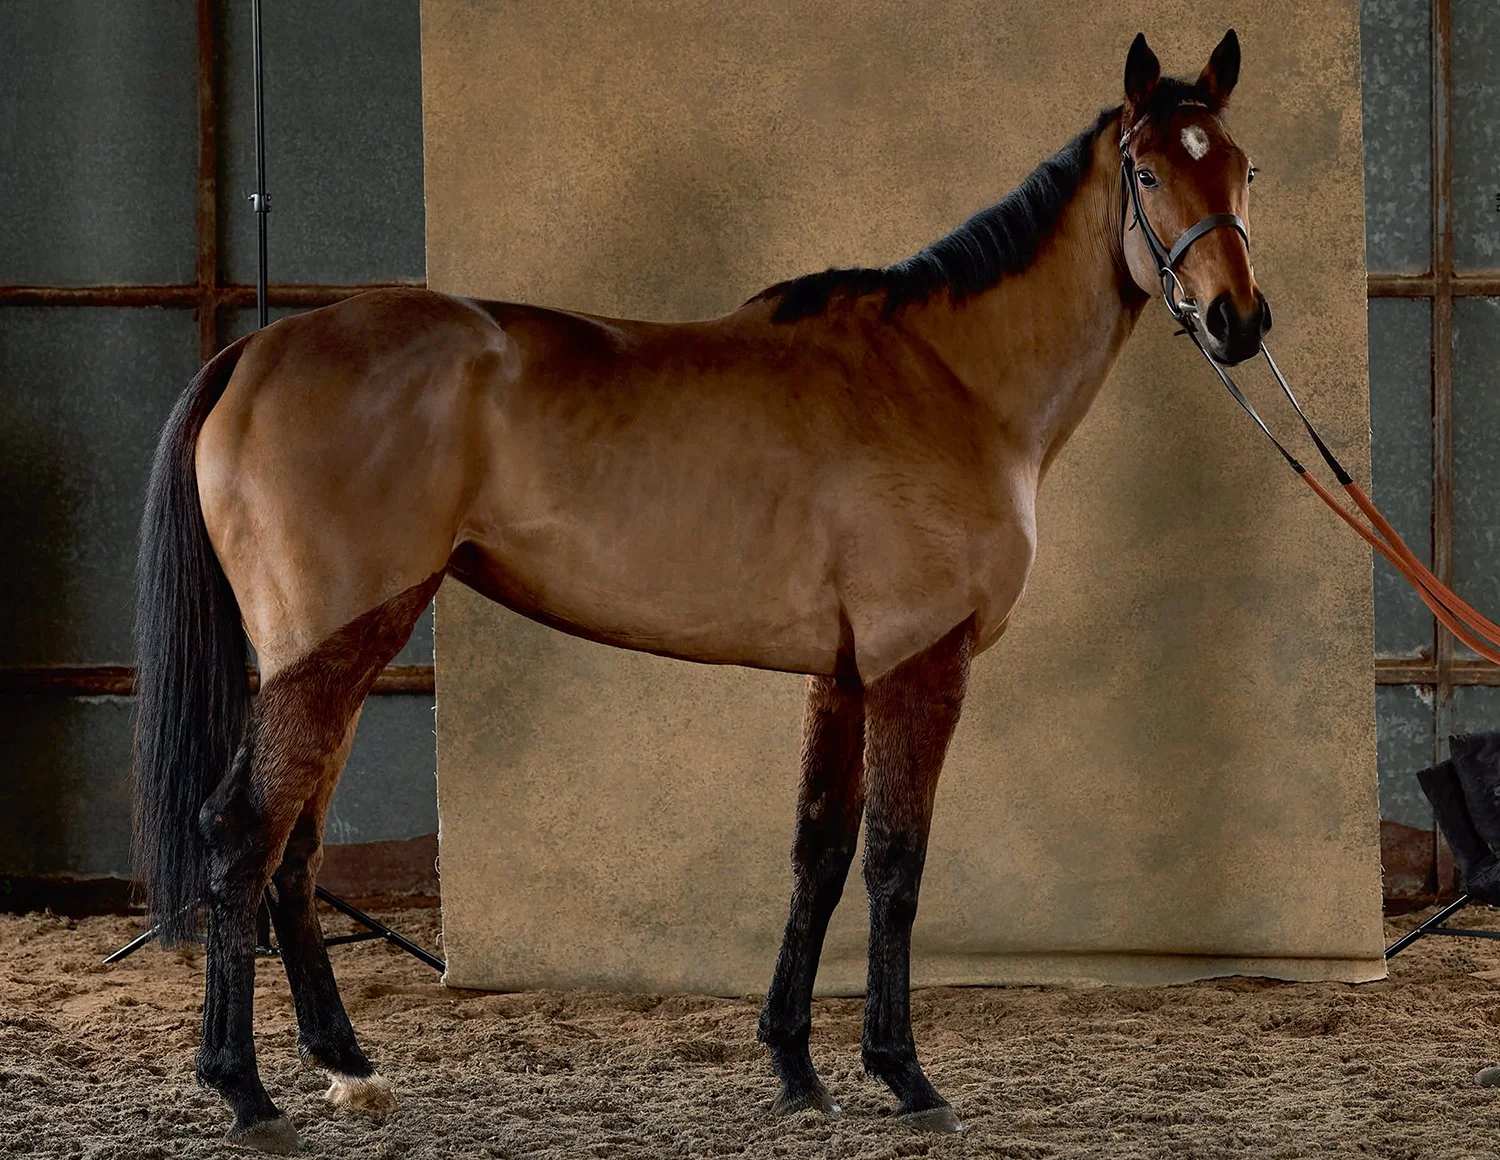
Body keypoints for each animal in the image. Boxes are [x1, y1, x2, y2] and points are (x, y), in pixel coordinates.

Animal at [131, 28, 1266, 1151]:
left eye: (1243, 167)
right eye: (1150, 170)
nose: (1237, 319)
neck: (947, 377)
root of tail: (258, 347)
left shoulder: (844, 672)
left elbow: (819, 851)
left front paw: (797, 1066)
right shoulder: (918, 656)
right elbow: (895, 864)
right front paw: (904, 1074)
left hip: (337, 648)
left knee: (296, 841)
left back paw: (346, 1063)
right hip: (329, 643)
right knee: (245, 829)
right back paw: (244, 1091)